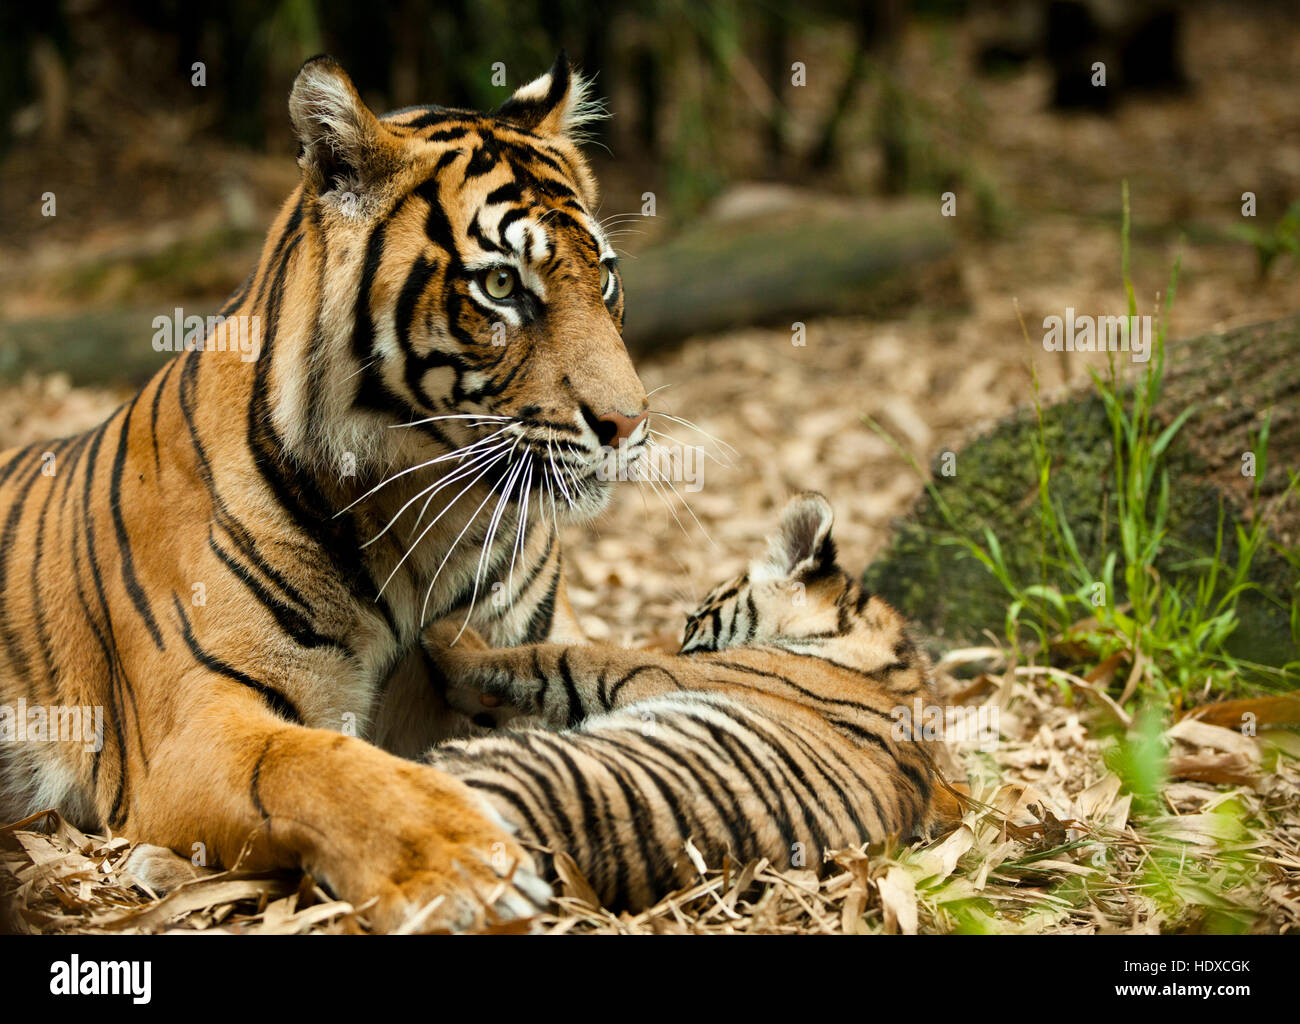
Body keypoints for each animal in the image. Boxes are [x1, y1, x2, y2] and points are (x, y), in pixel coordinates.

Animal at [0, 58, 650, 935]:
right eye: (501, 284)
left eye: (604, 275)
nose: (629, 422)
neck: (433, 514)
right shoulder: (198, 723)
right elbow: (317, 763)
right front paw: (463, 863)